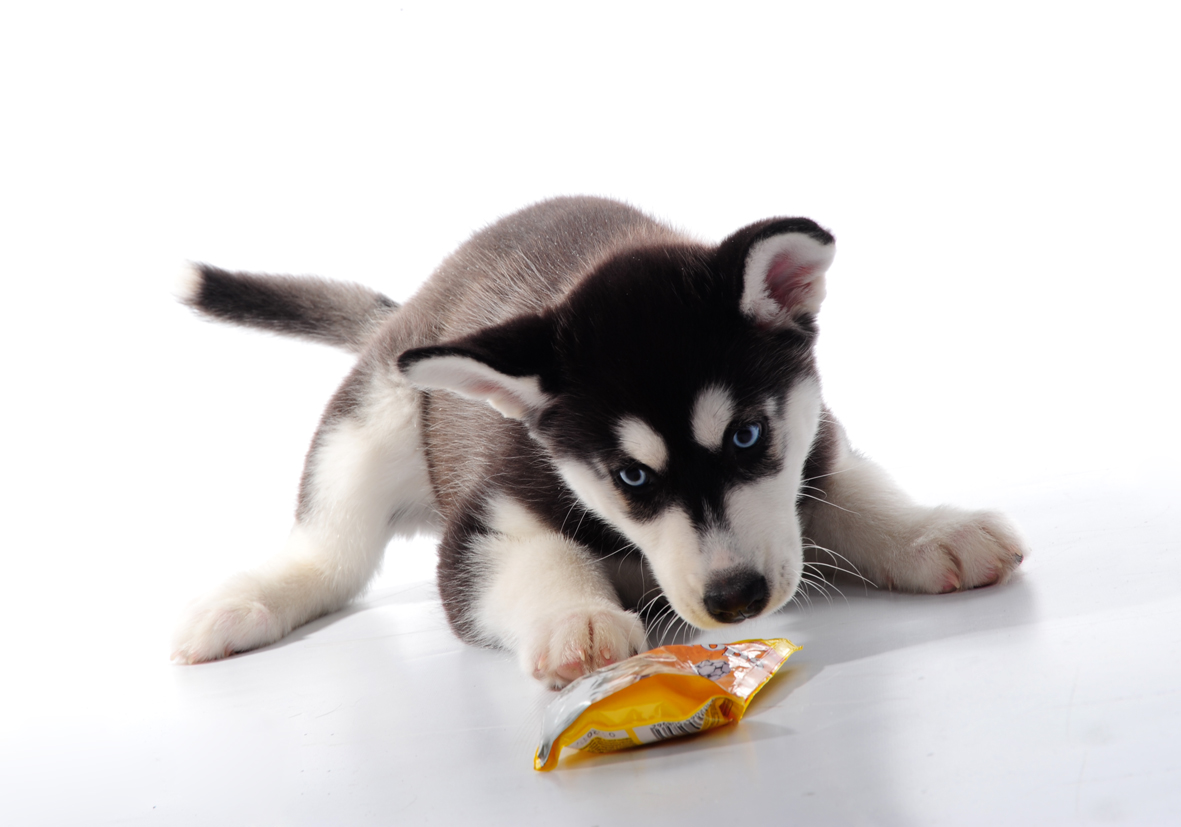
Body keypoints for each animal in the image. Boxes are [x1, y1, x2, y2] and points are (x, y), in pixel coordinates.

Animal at [172, 196, 1027, 688]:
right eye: (631, 477)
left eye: (747, 435)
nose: (735, 598)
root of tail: (417, 302)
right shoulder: (486, 519)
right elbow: (532, 558)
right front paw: (573, 618)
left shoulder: (813, 446)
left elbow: (853, 491)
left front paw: (933, 530)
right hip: (370, 423)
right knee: (331, 551)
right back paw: (244, 601)